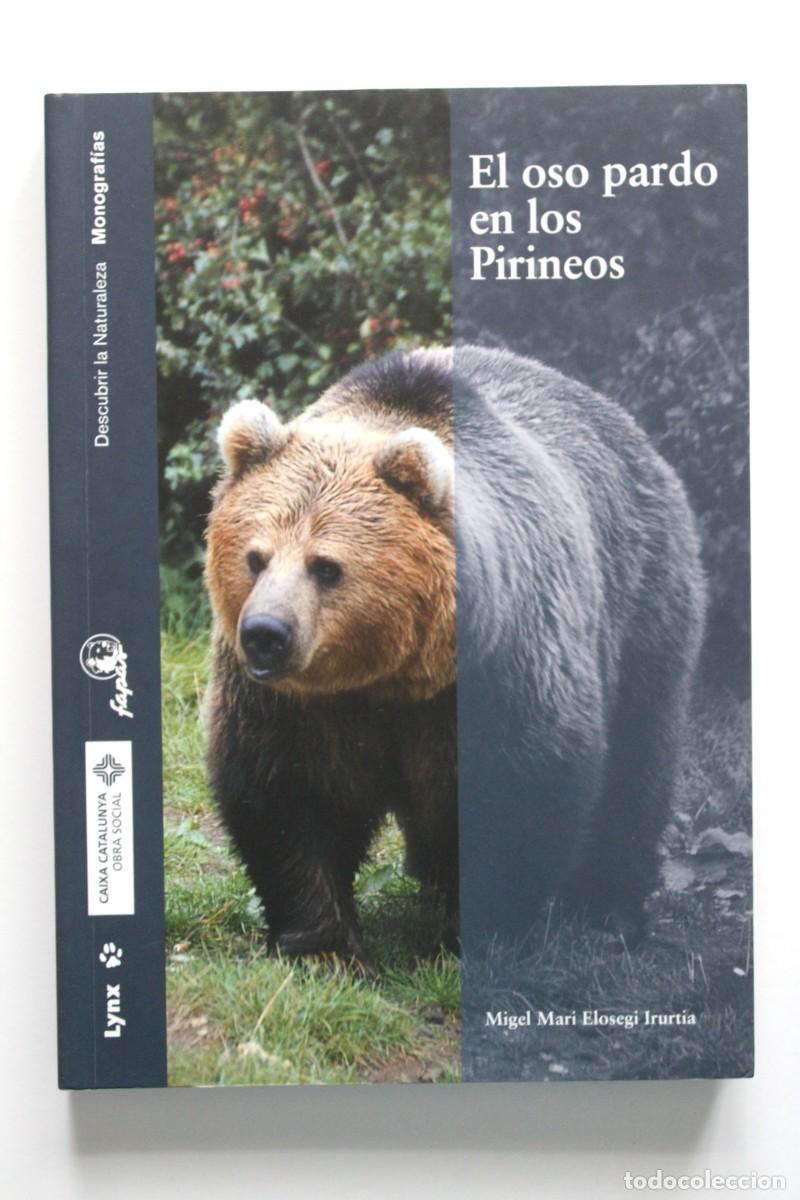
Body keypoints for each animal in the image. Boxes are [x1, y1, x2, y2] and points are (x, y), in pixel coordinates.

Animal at [205, 345, 705, 962]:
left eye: (326, 566)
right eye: (255, 557)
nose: (266, 632)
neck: (391, 677)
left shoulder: (503, 666)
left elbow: (518, 787)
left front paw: (478, 931)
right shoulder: (296, 705)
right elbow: (284, 792)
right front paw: (322, 943)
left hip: (643, 606)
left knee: (636, 761)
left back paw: (610, 908)